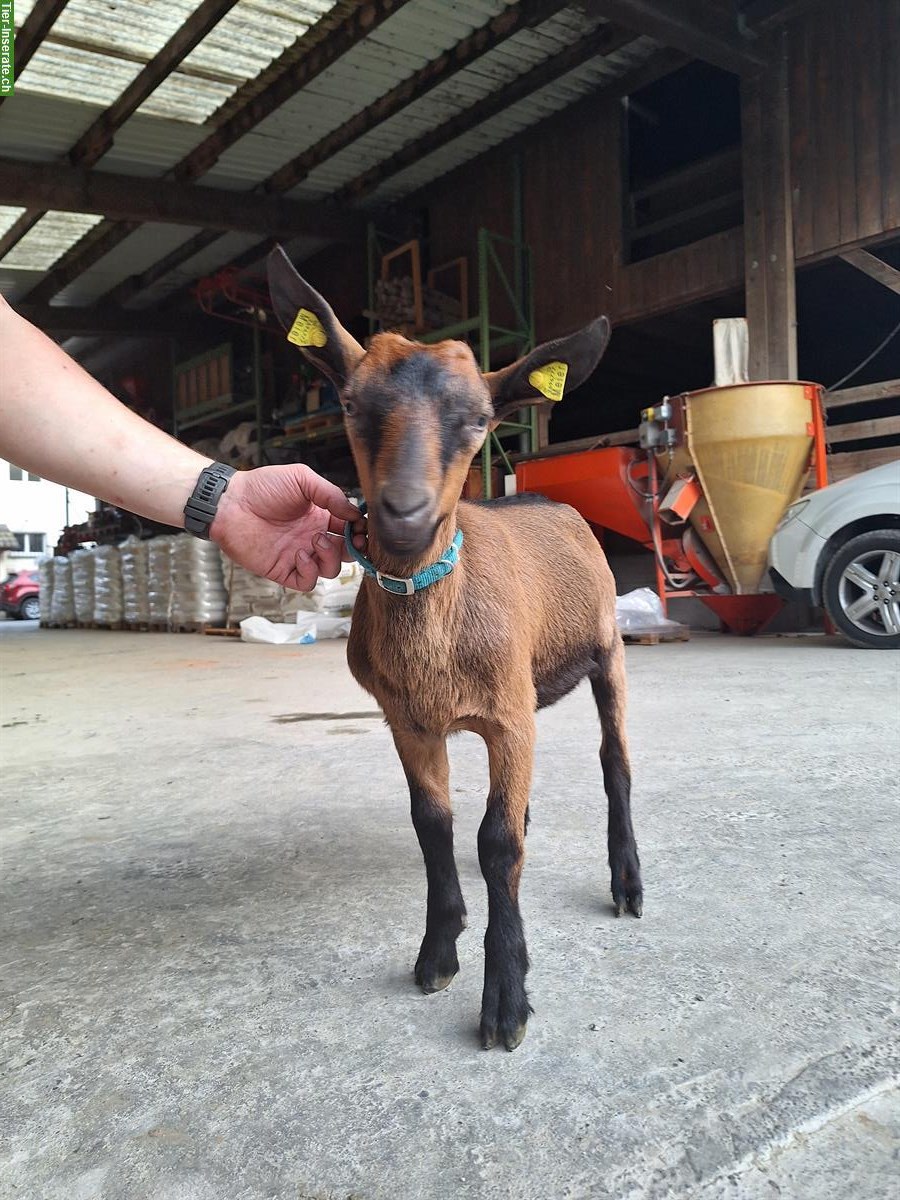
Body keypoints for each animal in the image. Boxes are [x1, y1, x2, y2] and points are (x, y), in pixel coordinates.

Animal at [267, 246, 643, 1051]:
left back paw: (627, 882)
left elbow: (496, 843)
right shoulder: (409, 721)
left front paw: (505, 1000)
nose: (403, 512)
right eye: (351, 404)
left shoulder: (509, 715)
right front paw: (439, 952)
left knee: (616, 765)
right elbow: (434, 825)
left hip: (608, 653)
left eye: (477, 421)